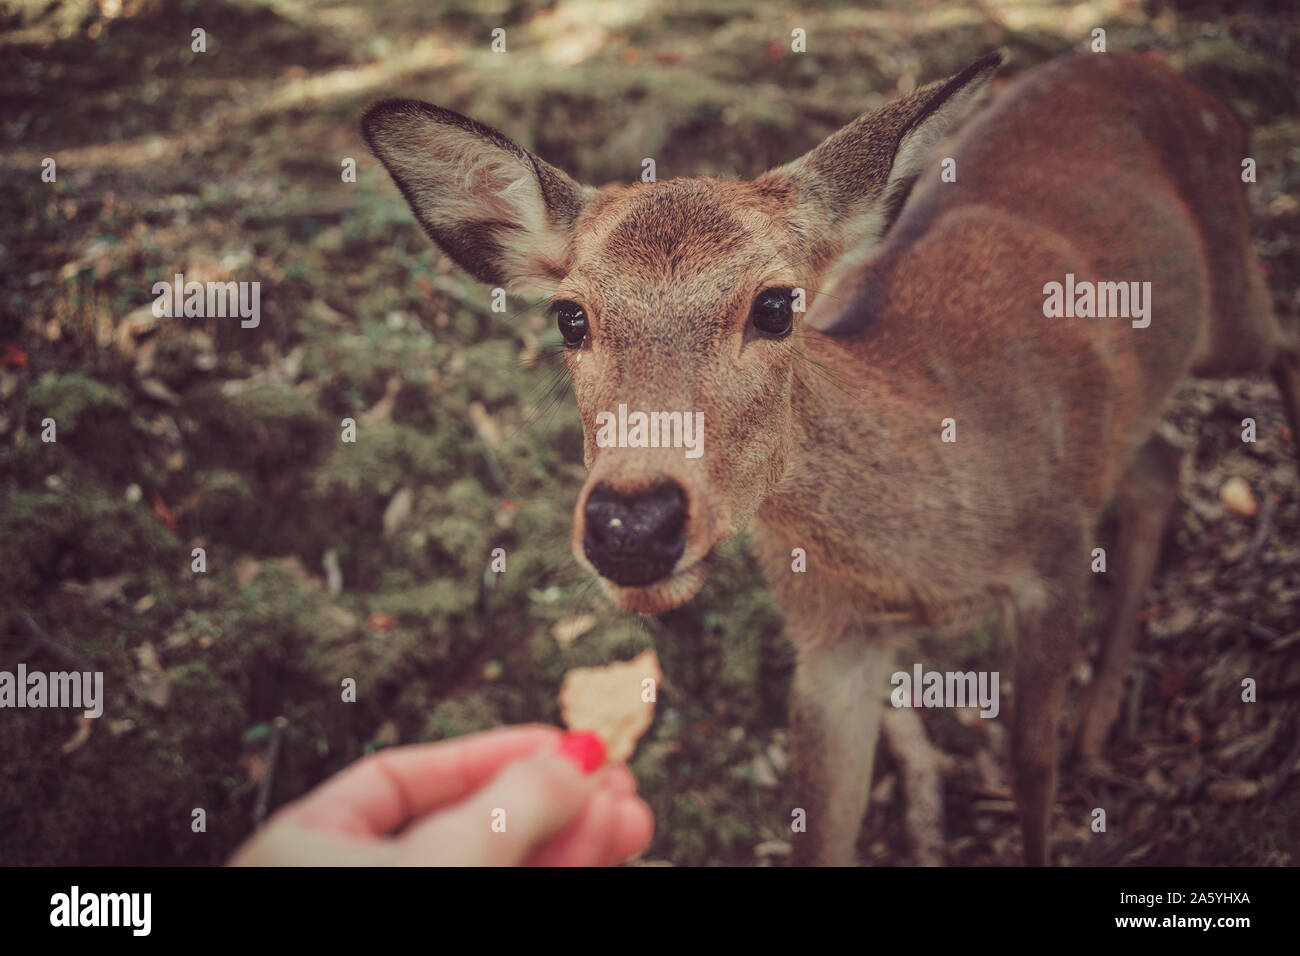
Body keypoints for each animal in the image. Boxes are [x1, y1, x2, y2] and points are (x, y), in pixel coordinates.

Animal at [362, 49, 1300, 865]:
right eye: (570, 317)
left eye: (777, 306)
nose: (633, 523)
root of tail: (1186, 82)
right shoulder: (831, 638)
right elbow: (823, 826)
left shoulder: (1055, 554)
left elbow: (1030, 766)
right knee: (1164, 462)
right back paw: (1102, 713)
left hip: (1228, 302)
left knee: (1277, 350)